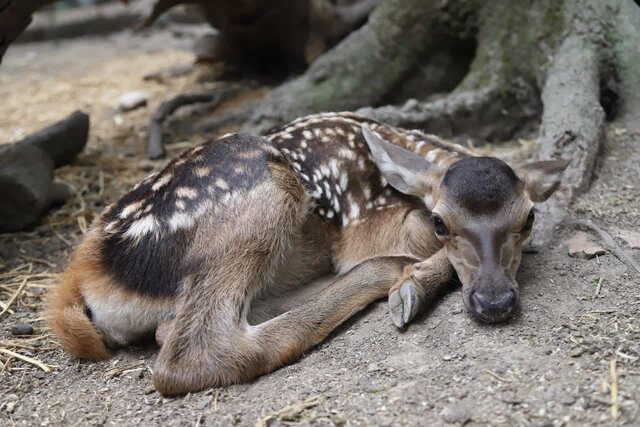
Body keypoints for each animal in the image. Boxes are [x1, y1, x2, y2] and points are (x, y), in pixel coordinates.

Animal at [50, 112, 568, 396]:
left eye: (529, 218)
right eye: (442, 222)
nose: (494, 302)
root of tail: (83, 272)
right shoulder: (368, 226)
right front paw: (412, 284)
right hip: (264, 187)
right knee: (194, 352)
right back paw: (389, 275)